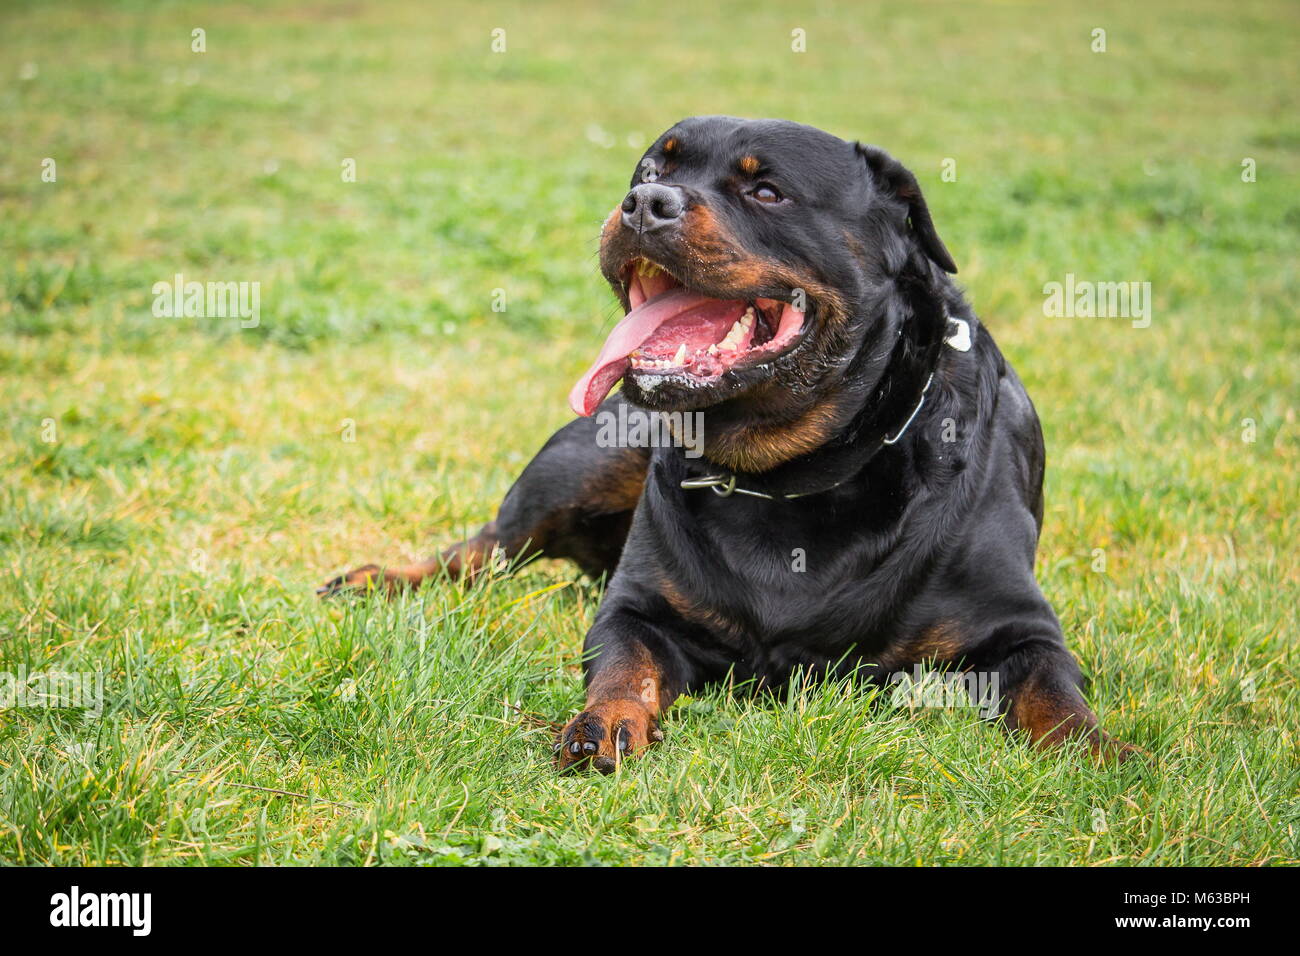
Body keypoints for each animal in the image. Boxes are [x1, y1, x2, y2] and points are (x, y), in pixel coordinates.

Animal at [322, 115, 1138, 770]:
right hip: (583, 464)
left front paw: (1094, 750)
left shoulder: (1020, 628)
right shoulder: (638, 608)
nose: (644, 204)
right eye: (650, 174)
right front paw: (603, 720)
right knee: (482, 550)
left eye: (767, 192)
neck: (796, 474)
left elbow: (1053, 690)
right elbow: (623, 662)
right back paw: (378, 579)